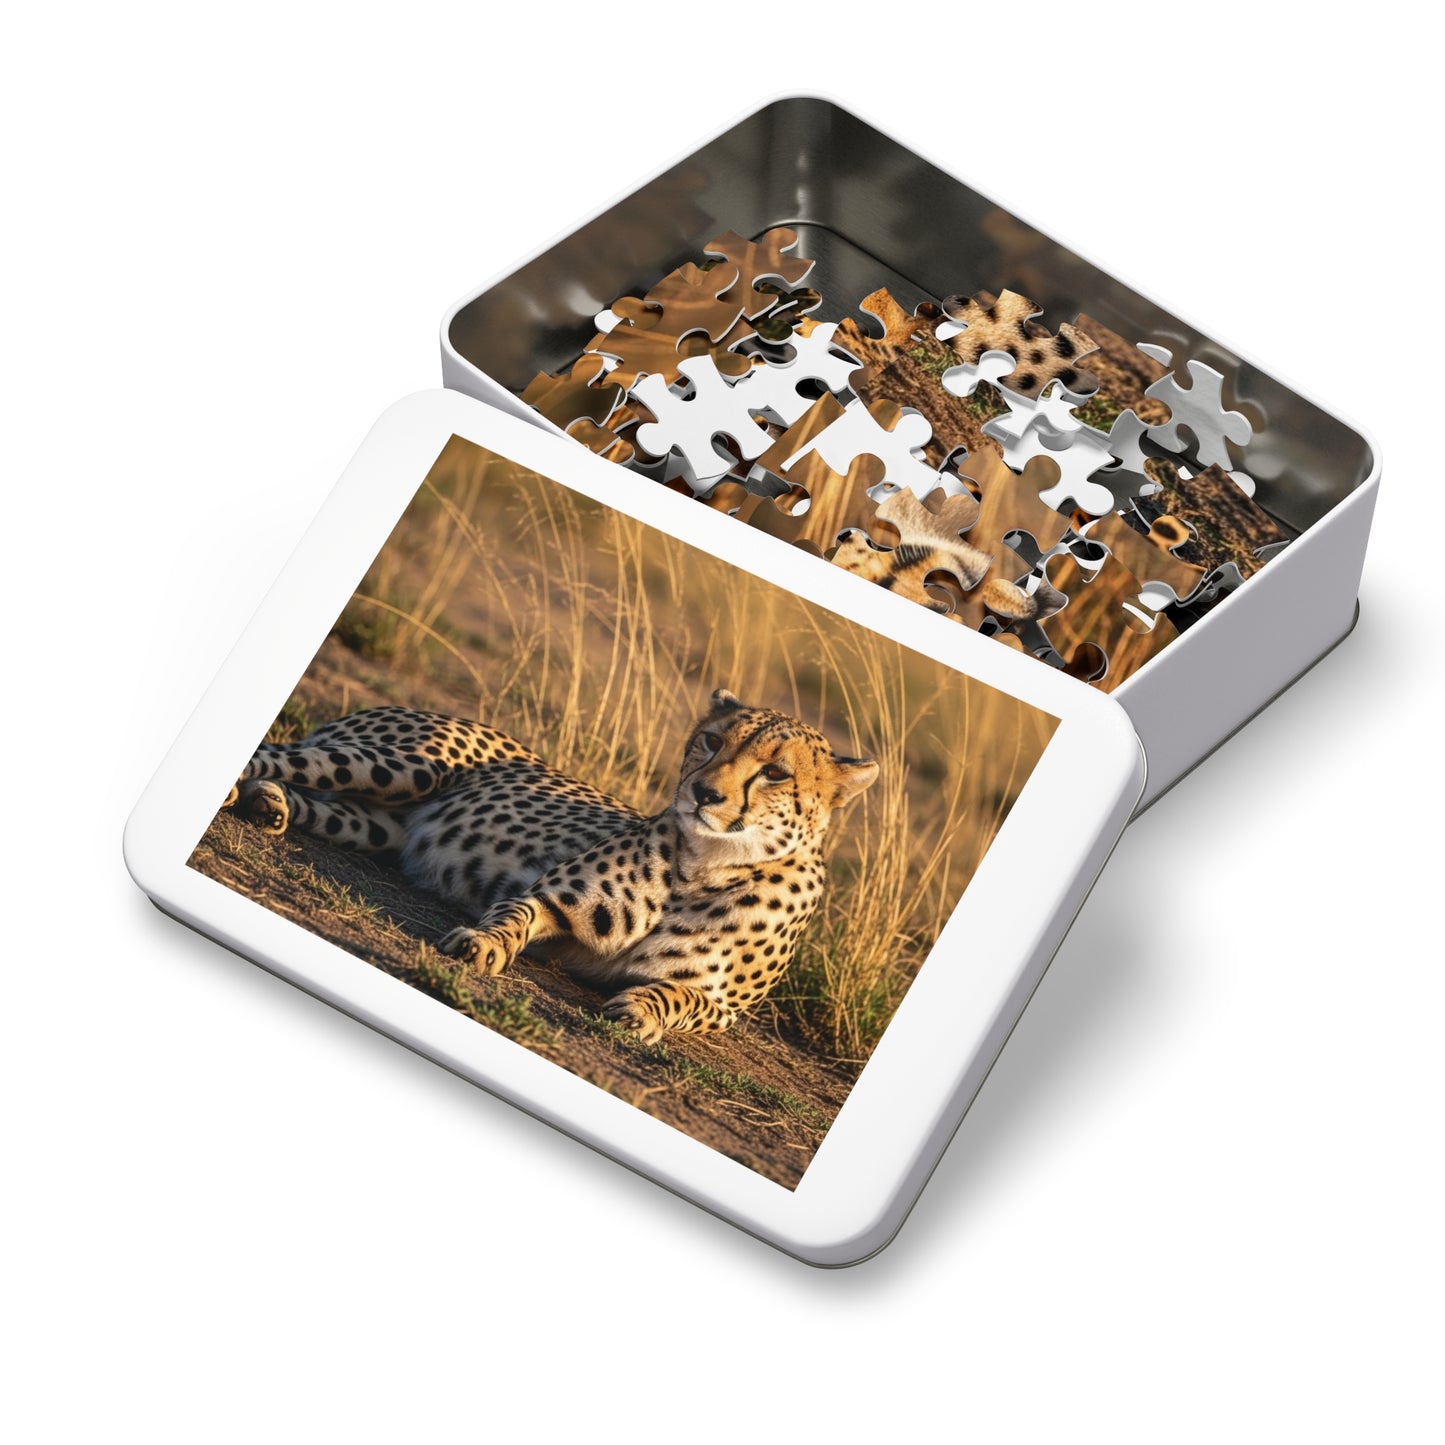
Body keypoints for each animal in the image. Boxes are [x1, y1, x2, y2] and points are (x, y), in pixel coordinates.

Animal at [227, 690, 878, 1043]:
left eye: (776, 772)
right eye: (713, 741)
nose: (704, 793)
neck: (706, 866)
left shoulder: (726, 1010)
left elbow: (683, 999)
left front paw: (642, 1009)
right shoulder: (554, 901)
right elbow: (514, 913)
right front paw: (484, 945)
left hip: (380, 824)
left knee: (306, 796)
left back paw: (268, 803)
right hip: (399, 766)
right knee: (276, 753)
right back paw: (243, 787)